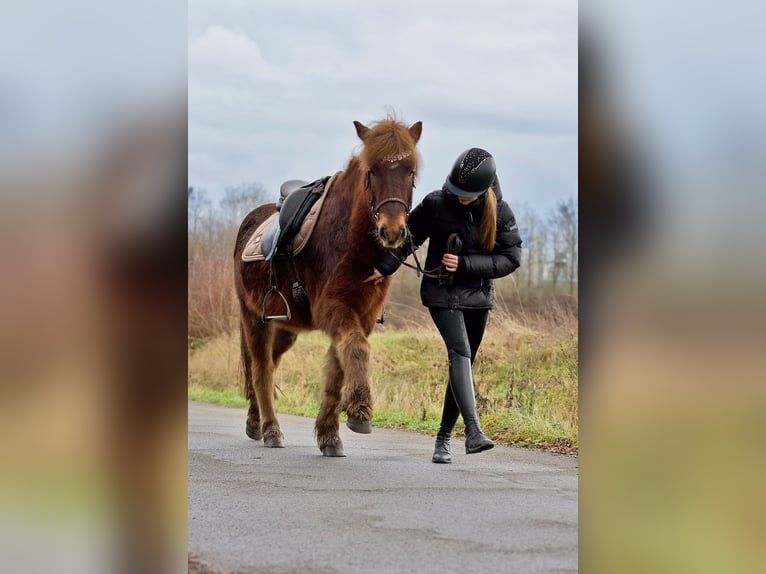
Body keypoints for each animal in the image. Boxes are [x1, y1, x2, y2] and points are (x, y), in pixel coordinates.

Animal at [233, 118, 422, 456]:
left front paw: (329, 434)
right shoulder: (334, 308)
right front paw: (360, 411)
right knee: (261, 369)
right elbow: (356, 350)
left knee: (268, 364)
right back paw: (270, 429)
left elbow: (338, 368)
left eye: (410, 171)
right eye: (372, 171)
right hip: (253, 318)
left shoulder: (362, 315)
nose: (392, 230)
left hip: (285, 327)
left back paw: (255, 422)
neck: (352, 242)